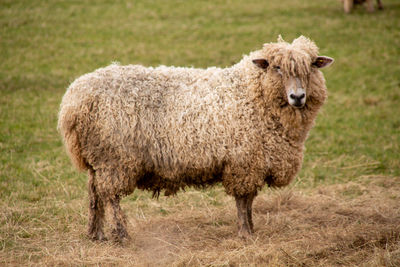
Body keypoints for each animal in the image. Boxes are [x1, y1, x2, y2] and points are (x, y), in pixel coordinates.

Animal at [57, 35, 332, 243]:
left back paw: (95, 234)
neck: (252, 94)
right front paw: (245, 233)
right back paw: (121, 234)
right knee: (111, 195)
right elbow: (243, 201)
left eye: (311, 67)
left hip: (98, 159)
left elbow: (249, 201)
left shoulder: (251, 163)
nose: (298, 96)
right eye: (277, 67)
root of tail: (73, 100)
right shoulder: (244, 162)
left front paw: (251, 229)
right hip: (114, 158)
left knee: (95, 194)